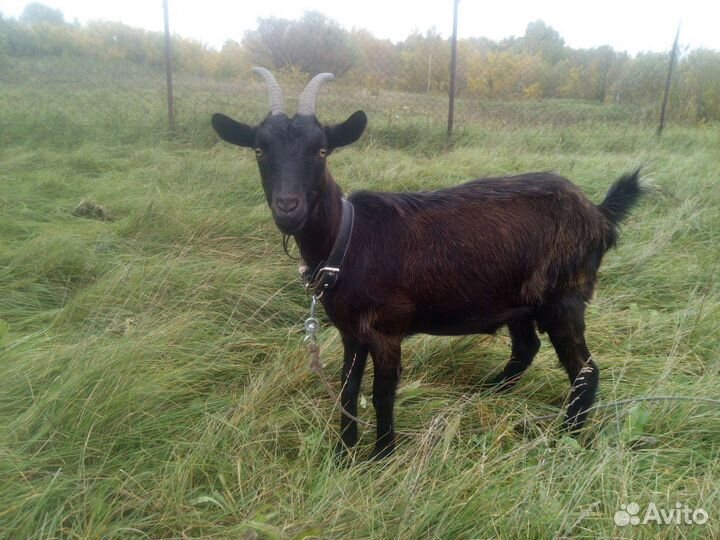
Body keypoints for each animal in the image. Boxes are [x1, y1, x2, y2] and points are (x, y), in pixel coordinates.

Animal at [212, 68, 643, 459]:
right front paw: (342, 452)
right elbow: (348, 389)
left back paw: (563, 440)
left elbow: (382, 394)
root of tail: (599, 213)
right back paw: (485, 394)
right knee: (526, 348)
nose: (289, 207)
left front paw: (381, 456)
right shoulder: (351, 330)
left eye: (321, 150)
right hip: (518, 300)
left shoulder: (386, 328)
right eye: (258, 149)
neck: (348, 240)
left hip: (564, 295)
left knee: (585, 372)